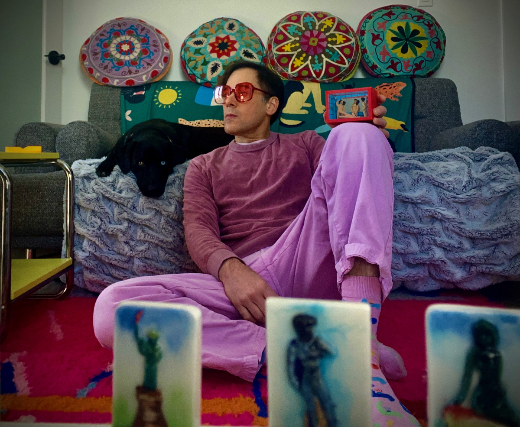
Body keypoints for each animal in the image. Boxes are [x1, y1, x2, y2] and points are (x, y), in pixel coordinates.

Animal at [96, 118, 234, 198]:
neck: (151, 130)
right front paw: (104, 166)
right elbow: (113, 151)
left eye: (163, 162)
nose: (153, 191)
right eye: (140, 163)